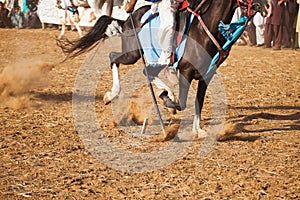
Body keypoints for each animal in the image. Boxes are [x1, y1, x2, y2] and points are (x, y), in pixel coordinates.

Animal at [61, 0, 272, 138]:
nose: (269, 7)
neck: (205, 31)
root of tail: (130, 17)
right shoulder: (186, 71)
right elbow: (183, 103)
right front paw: (169, 102)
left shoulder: (206, 75)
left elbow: (198, 102)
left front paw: (198, 130)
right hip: (133, 52)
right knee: (118, 59)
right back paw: (113, 94)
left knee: (145, 71)